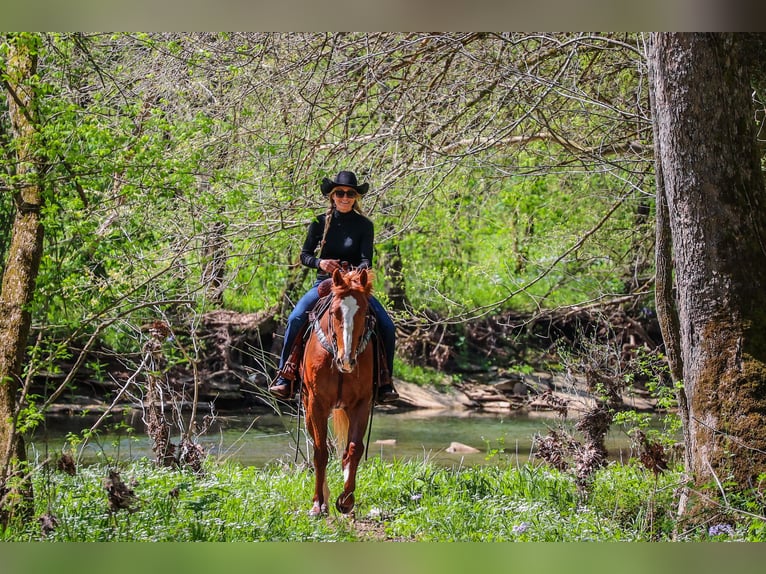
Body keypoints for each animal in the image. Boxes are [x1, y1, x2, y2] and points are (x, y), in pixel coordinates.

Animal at [302, 268, 376, 516]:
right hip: (308, 406)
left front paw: (346, 499)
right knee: (317, 445)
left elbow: (354, 448)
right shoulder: (317, 404)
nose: (347, 360)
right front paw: (318, 503)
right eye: (335, 312)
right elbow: (320, 452)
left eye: (363, 312)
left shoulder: (362, 403)